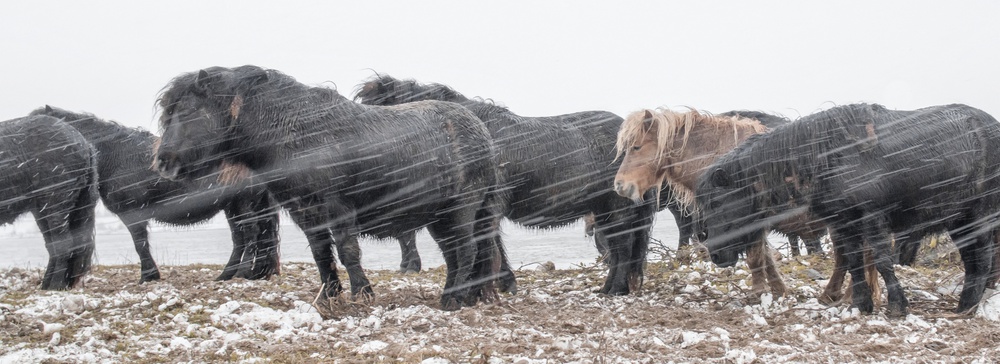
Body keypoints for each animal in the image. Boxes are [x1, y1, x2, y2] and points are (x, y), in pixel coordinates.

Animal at [1, 115, 98, 288]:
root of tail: (85, 144)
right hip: (43, 210)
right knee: (54, 246)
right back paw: (47, 285)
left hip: (56, 204)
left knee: (64, 244)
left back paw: (55, 286)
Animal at [155, 66, 508, 310]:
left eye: (185, 111)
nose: (162, 162)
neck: (297, 133)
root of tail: (483, 134)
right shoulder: (305, 213)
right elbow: (321, 254)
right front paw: (329, 295)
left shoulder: (338, 209)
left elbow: (348, 252)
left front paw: (361, 294)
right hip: (440, 217)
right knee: (456, 254)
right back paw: (463, 294)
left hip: (462, 209)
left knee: (466, 250)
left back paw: (453, 300)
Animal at [356, 74, 660, 296]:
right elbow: (492, 245)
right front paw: (503, 284)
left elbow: (488, 244)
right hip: (603, 210)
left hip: (616, 207)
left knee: (622, 247)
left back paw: (614, 290)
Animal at [608, 109, 876, 302]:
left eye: (636, 147)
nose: (620, 185)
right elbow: (766, 258)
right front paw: (778, 290)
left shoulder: (750, 222)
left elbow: (756, 258)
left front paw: (758, 293)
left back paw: (842, 296)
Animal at [696, 102, 1000, 316]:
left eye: (716, 202)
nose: (716, 254)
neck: (826, 158)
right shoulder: (843, 223)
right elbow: (853, 262)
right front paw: (860, 305)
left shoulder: (872, 217)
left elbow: (882, 260)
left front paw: (897, 306)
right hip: (959, 220)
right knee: (974, 259)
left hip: (980, 214)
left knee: (983, 258)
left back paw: (967, 307)